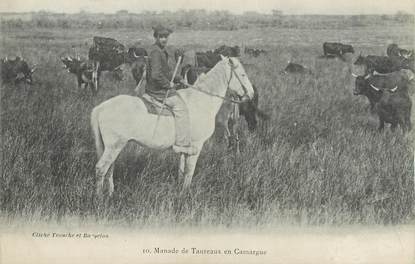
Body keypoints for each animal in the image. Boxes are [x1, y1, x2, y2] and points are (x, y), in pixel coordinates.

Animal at [90, 55, 256, 199]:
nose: (252, 94)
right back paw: (99, 198)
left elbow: (182, 170)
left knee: (109, 168)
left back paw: (111, 193)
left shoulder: (185, 147)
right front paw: (185, 194)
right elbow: (189, 171)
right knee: (101, 168)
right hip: (114, 146)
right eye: (242, 74)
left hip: (112, 147)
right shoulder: (196, 145)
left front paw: (179, 190)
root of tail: (100, 108)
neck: (201, 101)